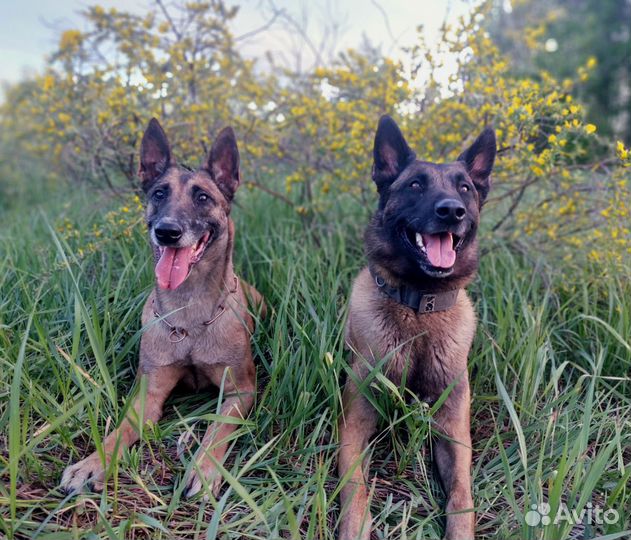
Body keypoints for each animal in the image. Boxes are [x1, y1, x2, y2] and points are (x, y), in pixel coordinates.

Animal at [60, 120, 266, 500]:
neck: (189, 314)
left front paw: (204, 468)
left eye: (202, 197)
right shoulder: (149, 394)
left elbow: (217, 428)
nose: (167, 231)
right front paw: (93, 462)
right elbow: (120, 430)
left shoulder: (240, 390)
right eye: (158, 194)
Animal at [338, 116, 496, 536]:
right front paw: (355, 529)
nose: (452, 211)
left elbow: (461, 497)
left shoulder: (453, 429)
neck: (420, 310)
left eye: (464, 187)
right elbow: (355, 487)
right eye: (414, 185)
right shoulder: (355, 423)